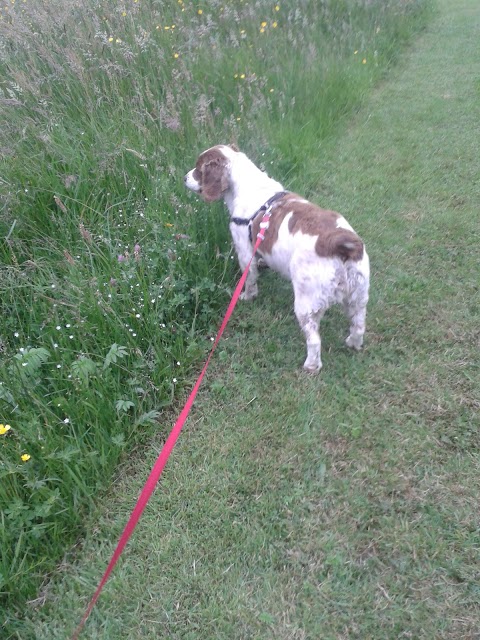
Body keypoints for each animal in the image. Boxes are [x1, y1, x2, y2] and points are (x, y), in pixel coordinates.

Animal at [185, 142, 372, 372]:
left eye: (198, 169)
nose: (184, 177)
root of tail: (338, 244)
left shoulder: (244, 251)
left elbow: (250, 279)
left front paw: (247, 297)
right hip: (358, 296)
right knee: (358, 325)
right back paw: (353, 343)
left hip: (306, 303)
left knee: (314, 340)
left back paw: (311, 366)